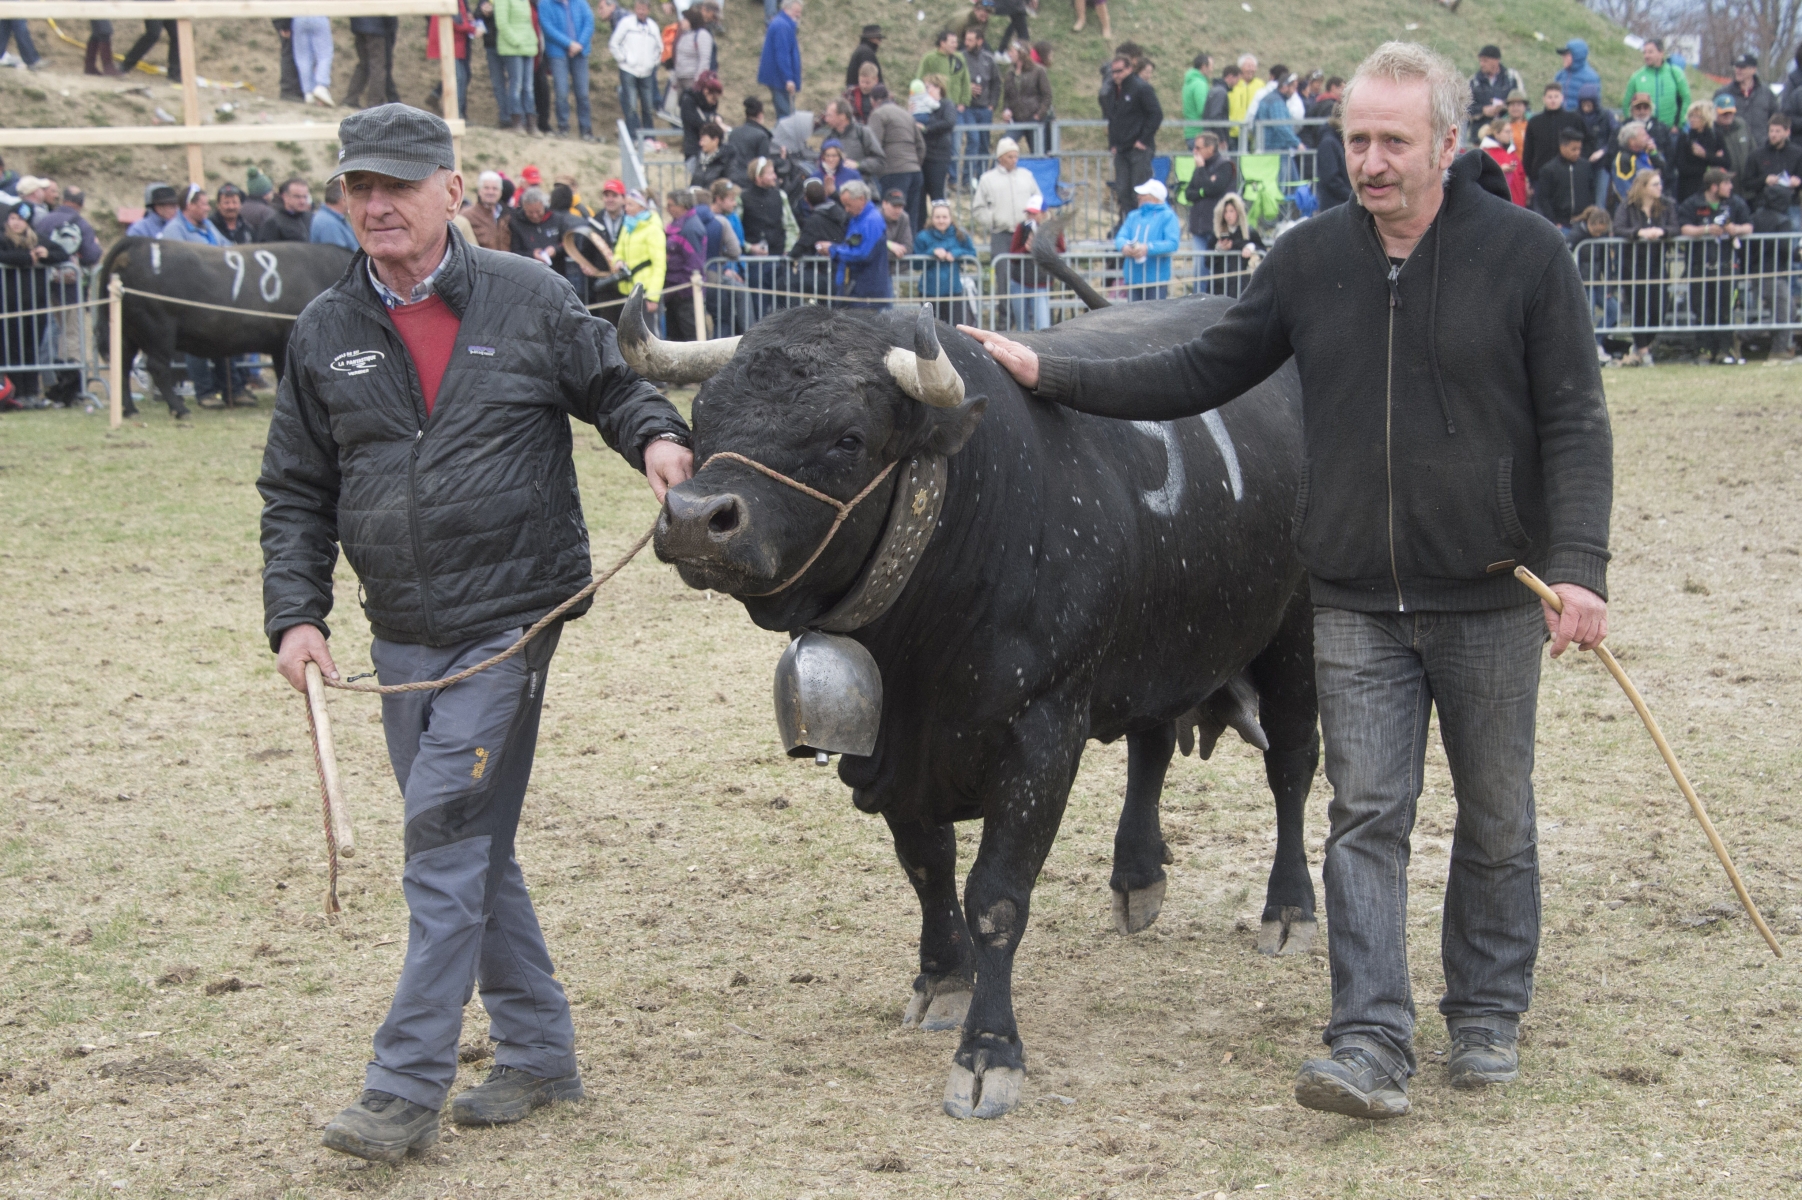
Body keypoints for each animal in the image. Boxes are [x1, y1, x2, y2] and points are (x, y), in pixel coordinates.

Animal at [95, 236, 351, 414]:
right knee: (157, 368)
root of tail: (141, 241)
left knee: (122, 366)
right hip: (158, 331)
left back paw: (129, 409)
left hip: (127, 333)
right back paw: (179, 409)